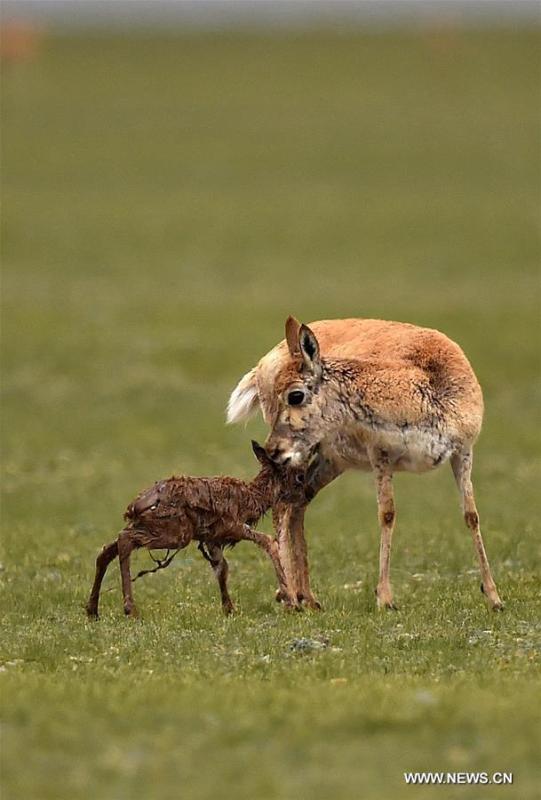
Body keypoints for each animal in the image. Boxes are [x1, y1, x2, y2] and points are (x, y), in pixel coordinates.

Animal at [86, 444, 302, 620]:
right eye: (297, 476)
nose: (303, 492)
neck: (251, 498)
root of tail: (134, 506)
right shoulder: (231, 526)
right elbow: (269, 541)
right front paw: (291, 603)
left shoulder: (211, 538)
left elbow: (222, 568)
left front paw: (229, 609)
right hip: (175, 532)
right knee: (124, 540)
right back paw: (130, 610)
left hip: (153, 527)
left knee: (106, 550)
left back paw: (92, 610)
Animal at [226, 316, 500, 608]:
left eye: (295, 395)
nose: (272, 450)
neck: (427, 381)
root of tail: (264, 361)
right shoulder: (380, 455)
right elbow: (387, 514)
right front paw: (385, 598)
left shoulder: (463, 451)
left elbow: (471, 515)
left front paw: (494, 596)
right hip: (306, 456)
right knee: (282, 507)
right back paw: (290, 596)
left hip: (330, 462)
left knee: (296, 504)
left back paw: (306, 597)